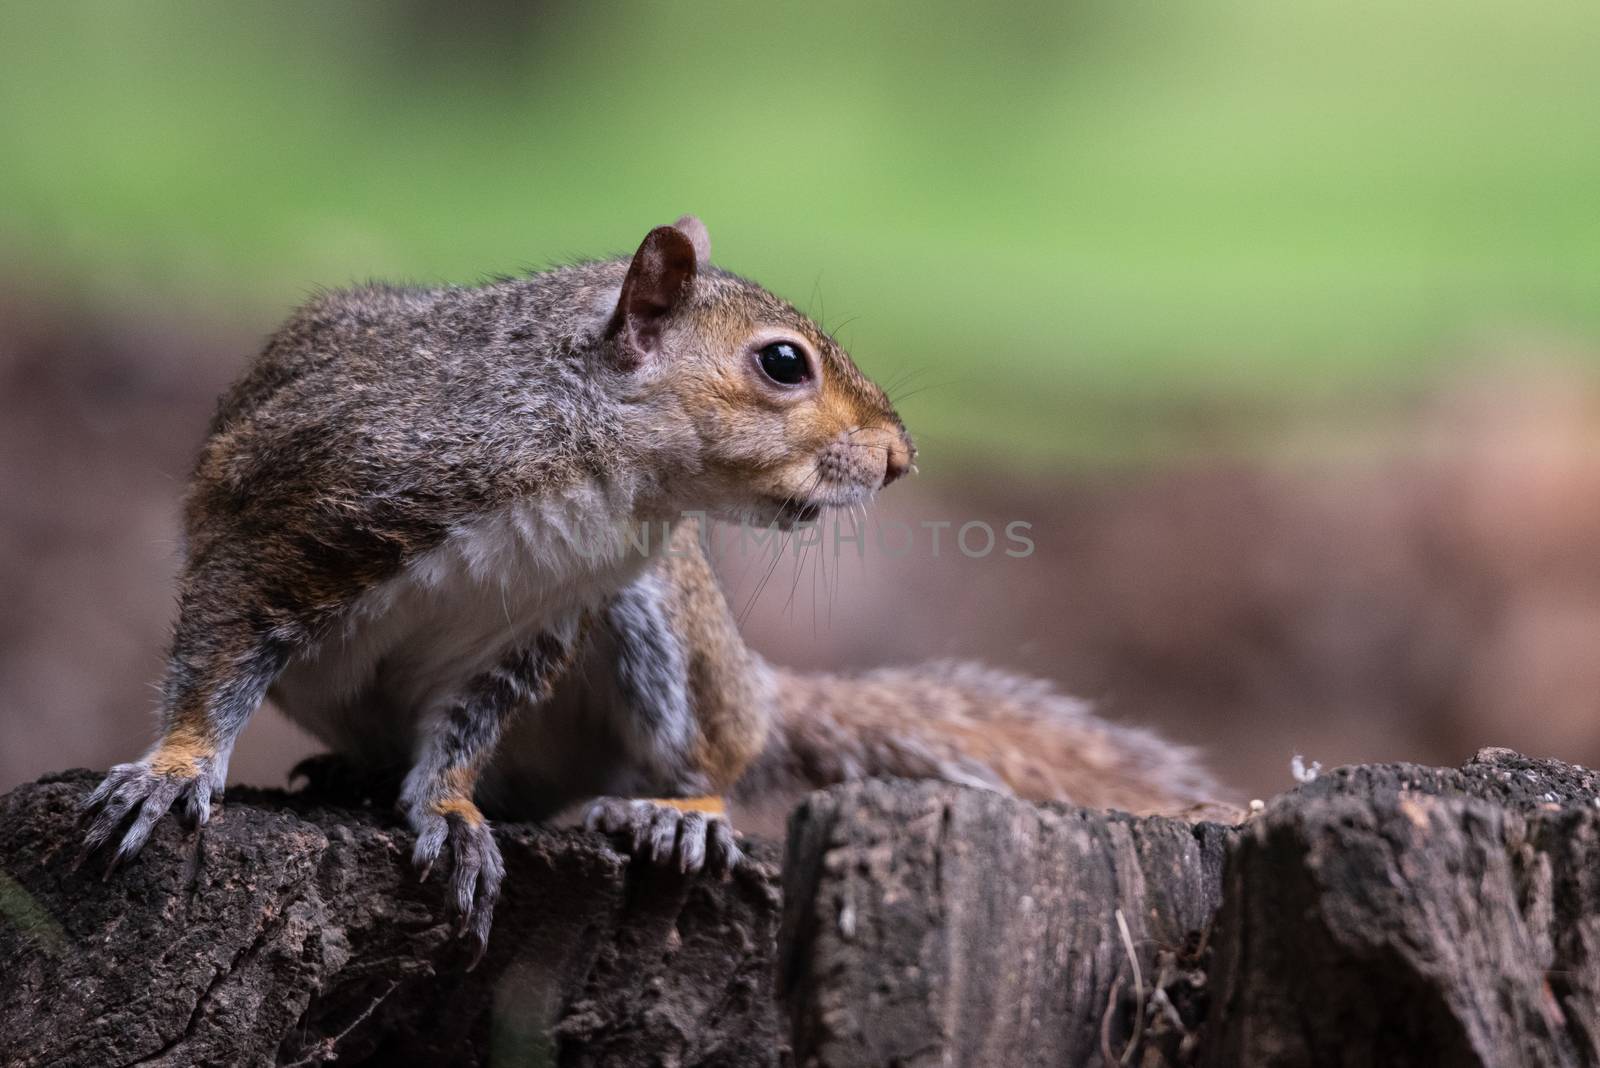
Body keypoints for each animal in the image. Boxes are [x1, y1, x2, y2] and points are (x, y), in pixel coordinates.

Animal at [81, 214, 1216, 959]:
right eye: (782, 363)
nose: (901, 459)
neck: (592, 462)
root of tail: (757, 690)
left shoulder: (537, 622)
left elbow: (465, 730)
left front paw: (449, 809)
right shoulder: (299, 517)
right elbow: (219, 649)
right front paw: (173, 770)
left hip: (663, 628)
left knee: (710, 753)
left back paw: (680, 811)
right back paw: (353, 774)